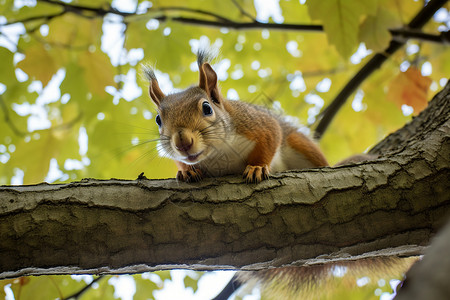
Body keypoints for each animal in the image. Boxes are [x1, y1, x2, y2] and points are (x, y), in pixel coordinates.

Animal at [144, 49, 326, 183]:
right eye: (158, 120)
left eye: (207, 108)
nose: (182, 143)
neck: (218, 153)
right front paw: (187, 171)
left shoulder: (256, 124)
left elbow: (270, 138)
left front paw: (257, 167)